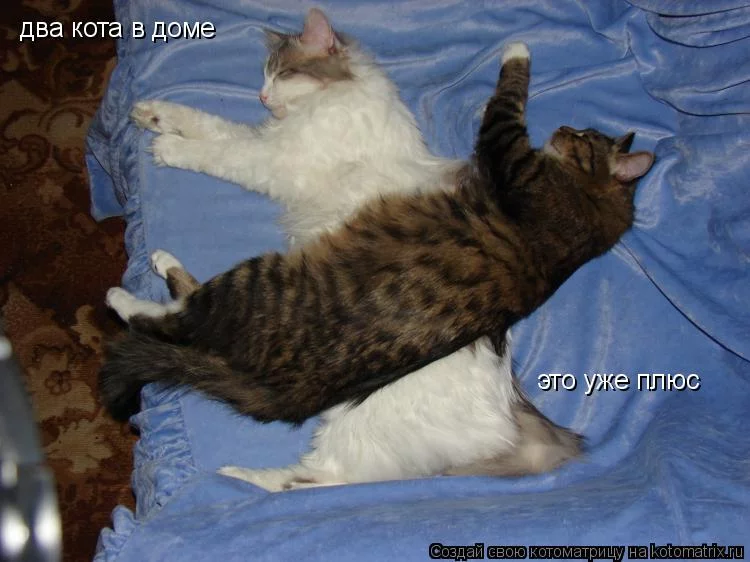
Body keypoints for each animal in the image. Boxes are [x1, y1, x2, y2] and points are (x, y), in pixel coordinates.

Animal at [101, 32, 654, 491]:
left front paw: (168, 147)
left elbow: (221, 151)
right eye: (265, 77)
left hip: (331, 388)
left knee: (315, 474)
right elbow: (212, 125)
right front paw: (155, 115)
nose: (262, 98)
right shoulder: (272, 141)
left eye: (280, 74)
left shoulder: (274, 160)